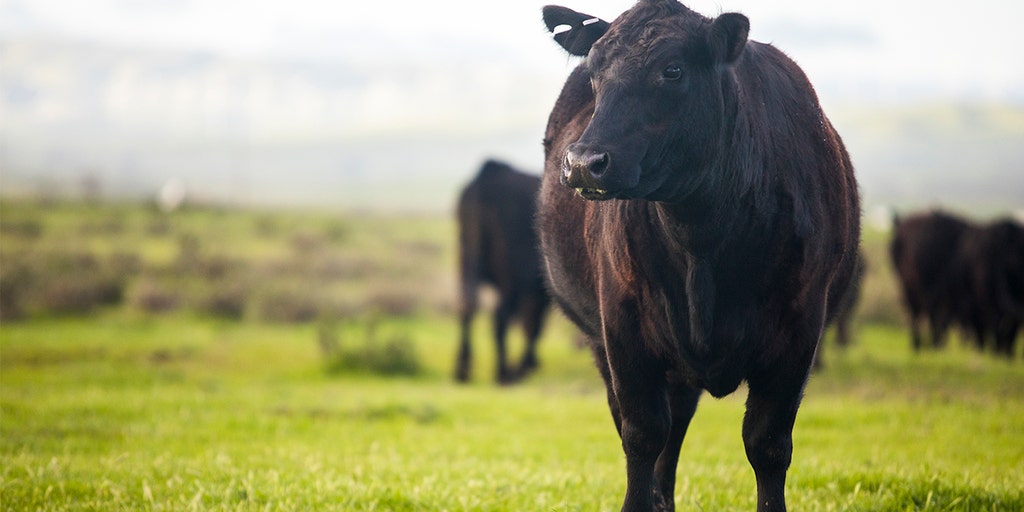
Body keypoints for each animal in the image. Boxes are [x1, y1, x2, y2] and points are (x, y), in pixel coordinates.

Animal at [454, 159, 551, 384]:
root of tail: (490, 174)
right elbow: (534, 325)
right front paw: (526, 365)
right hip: (512, 279)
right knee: (500, 316)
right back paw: (504, 372)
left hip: (465, 260)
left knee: (466, 306)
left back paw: (462, 371)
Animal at [537, 2, 860, 511]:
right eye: (593, 72)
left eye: (673, 70)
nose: (584, 163)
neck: (702, 240)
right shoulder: (622, 326)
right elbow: (642, 435)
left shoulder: (800, 328)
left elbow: (768, 444)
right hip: (608, 346)